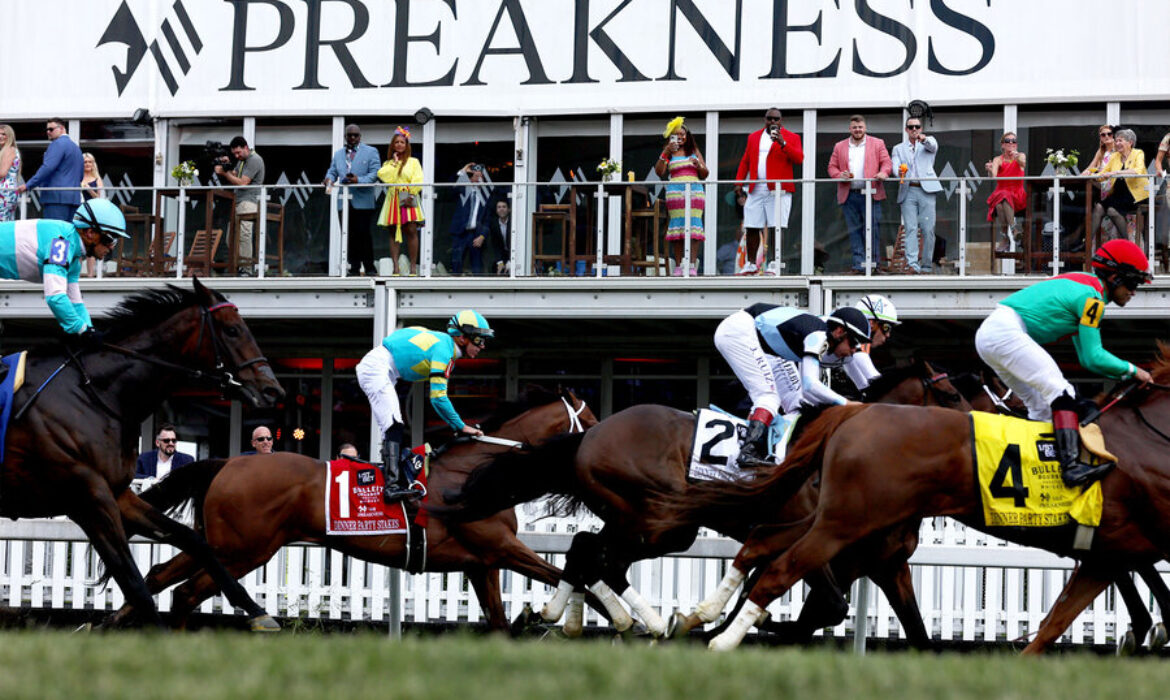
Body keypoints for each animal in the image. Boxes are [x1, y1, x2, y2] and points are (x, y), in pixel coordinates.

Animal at [5, 279, 284, 632]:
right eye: (233, 330)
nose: (274, 390)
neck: (92, 394)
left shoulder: (117, 494)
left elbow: (192, 540)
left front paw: (254, 608)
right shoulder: (89, 499)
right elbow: (134, 583)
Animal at [108, 388, 594, 632]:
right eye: (590, 421)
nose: (600, 449)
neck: (475, 472)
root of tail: (227, 461)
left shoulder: (483, 563)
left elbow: (498, 619)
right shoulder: (502, 547)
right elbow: (578, 579)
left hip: (220, 543)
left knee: (161, 576)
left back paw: (114, 623)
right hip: (245, 550)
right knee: (188, 592)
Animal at [439, 362, 968, 641]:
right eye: (952, 393)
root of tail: (590, 435)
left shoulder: (882, 564)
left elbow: (901, 625)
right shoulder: (817, 541)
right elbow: (826, 605)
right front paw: (726, 626)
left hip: (638, 520)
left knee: (587, 550)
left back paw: (566, 617)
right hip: (662, 521)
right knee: (602, 558)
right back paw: (649, 621)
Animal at [659, 353, 1170, 655]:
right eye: (950, 393)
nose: (999, 420)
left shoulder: (885, 561)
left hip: (834, 519)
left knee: (762, 543)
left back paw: (697, 618)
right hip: (838, 525)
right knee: (776, 564)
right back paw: (709, 633)